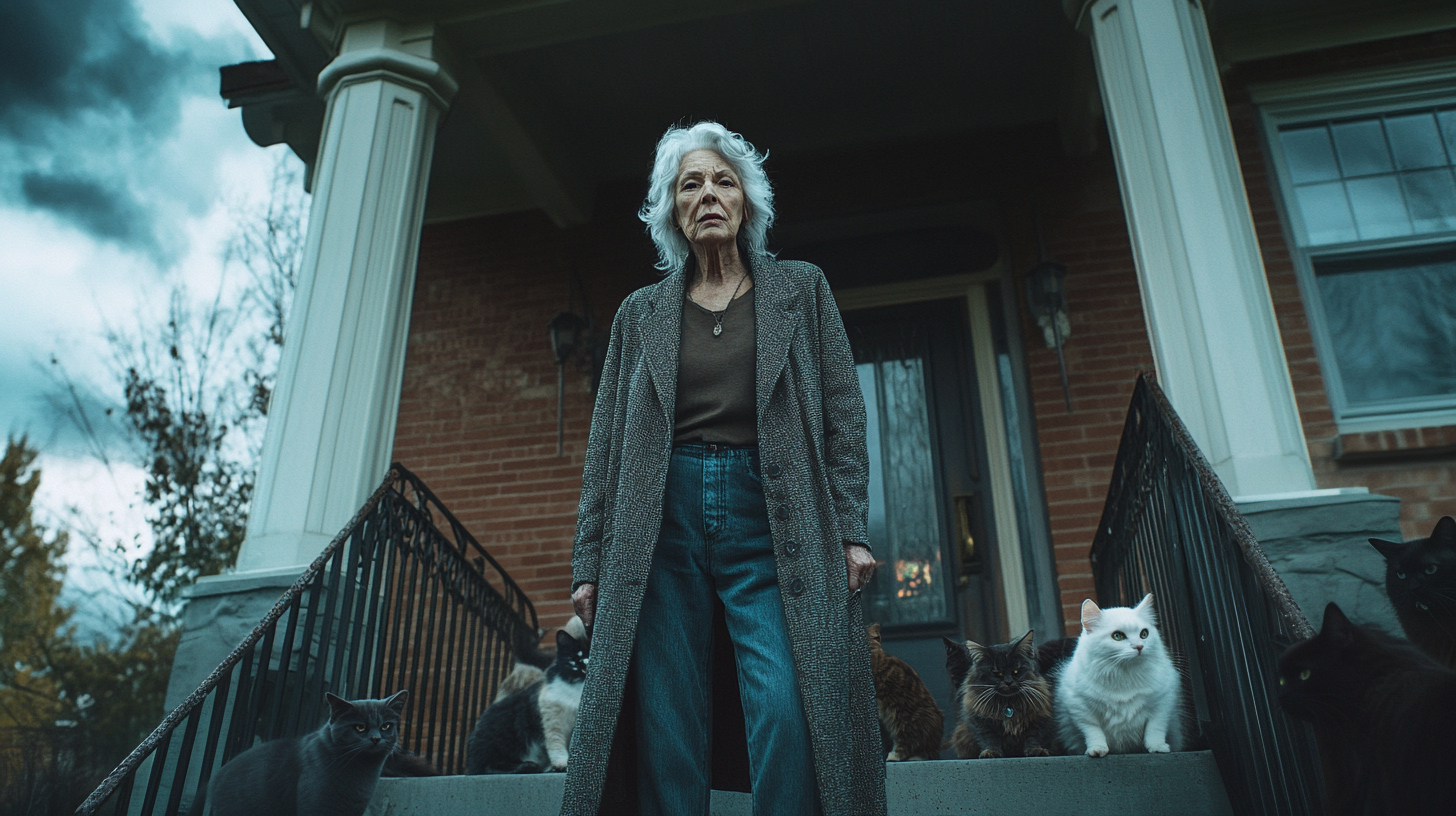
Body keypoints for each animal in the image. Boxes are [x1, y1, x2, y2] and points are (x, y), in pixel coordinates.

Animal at [193, 687, 410, 816]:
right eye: (360, 728)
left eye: (385, 726)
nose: (376, 738)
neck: (360, 775)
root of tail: (214, 779)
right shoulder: (318, 806)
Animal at [1059, 591, 1182, 757]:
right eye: (1117, 636)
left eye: (1144, 634)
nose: (1139, 646)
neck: (1124, 673)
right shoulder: (1081, 709)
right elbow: (1094, 732)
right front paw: (1097, 750)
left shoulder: (1162, 704)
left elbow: (1155, 730)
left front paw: (1157, 747)